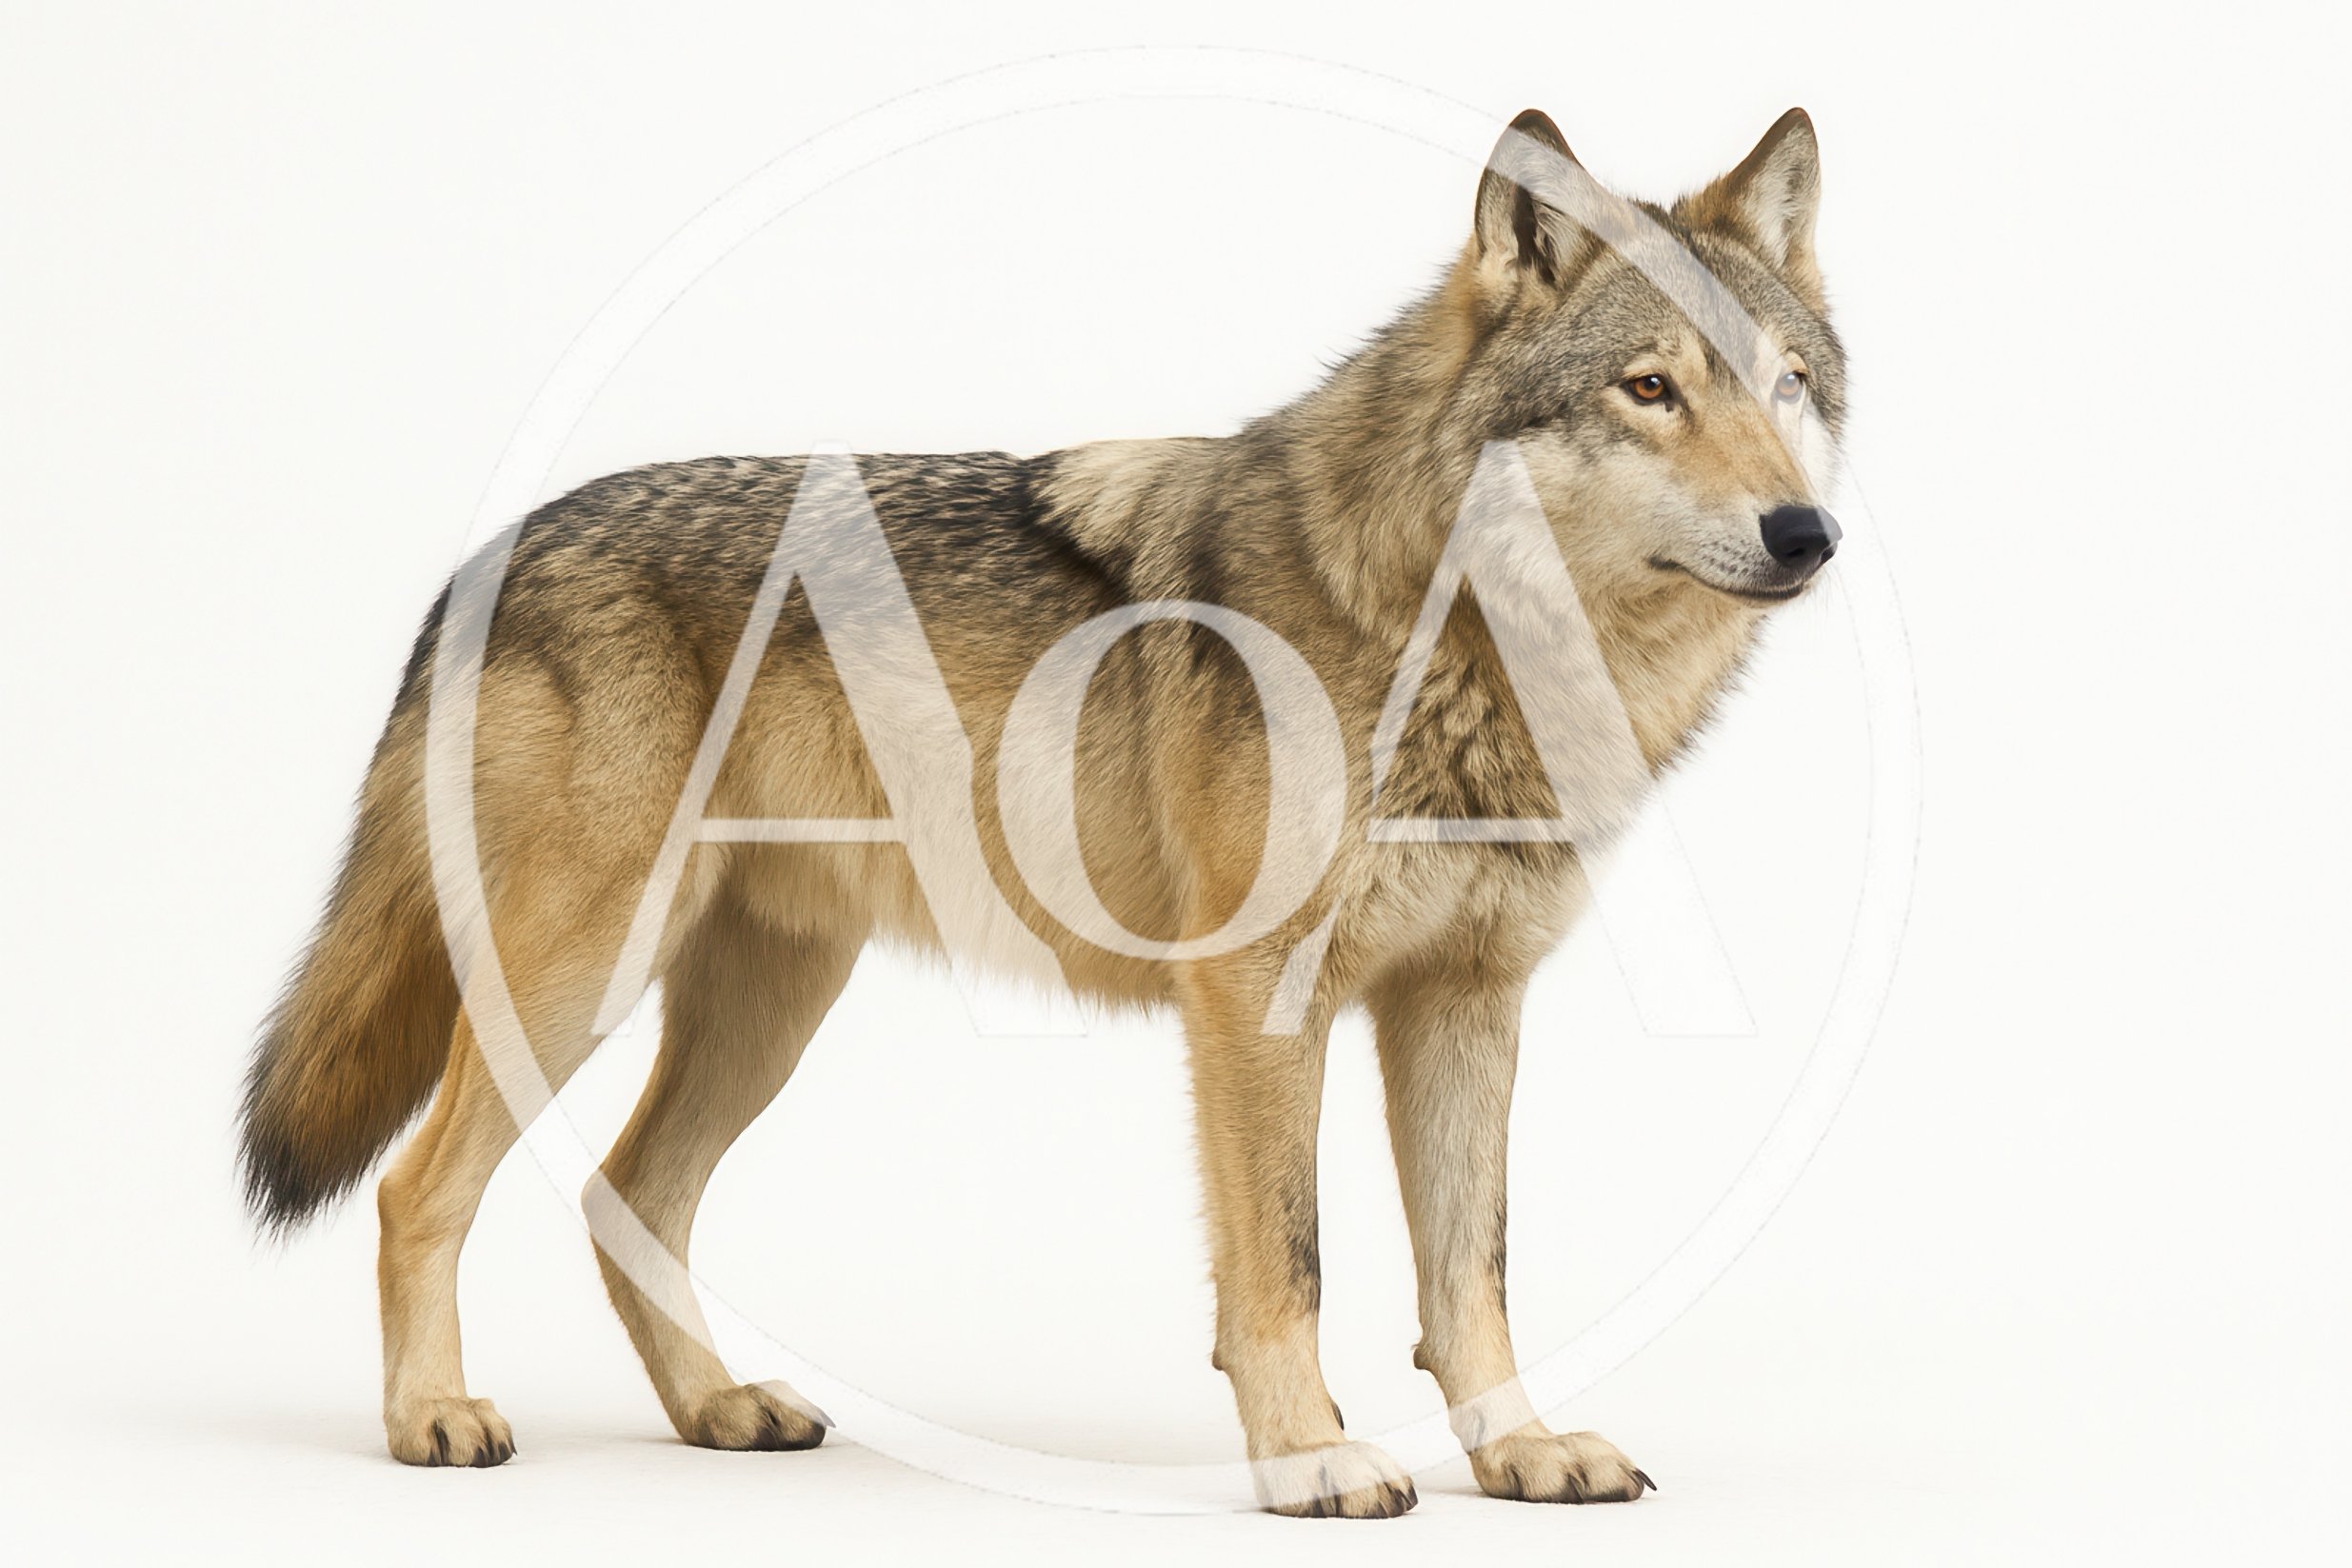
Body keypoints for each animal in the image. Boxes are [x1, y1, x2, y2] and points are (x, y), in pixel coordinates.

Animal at [241, 106, 1845, 1517]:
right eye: (1647, 388)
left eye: (1785, 386)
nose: (1806, 532)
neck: (1453, 643)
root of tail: (493, 552)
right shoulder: (1256, 1001)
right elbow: (1288, 1261)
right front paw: (1309, 1459)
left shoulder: (1466, 1000)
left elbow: (1472, 1274)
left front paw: (1516, 1452)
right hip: (578, 977)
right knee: (413, 1190)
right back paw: (434, 1416)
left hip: (767, 1004)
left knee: (626, 1189)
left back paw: (717, 1407)